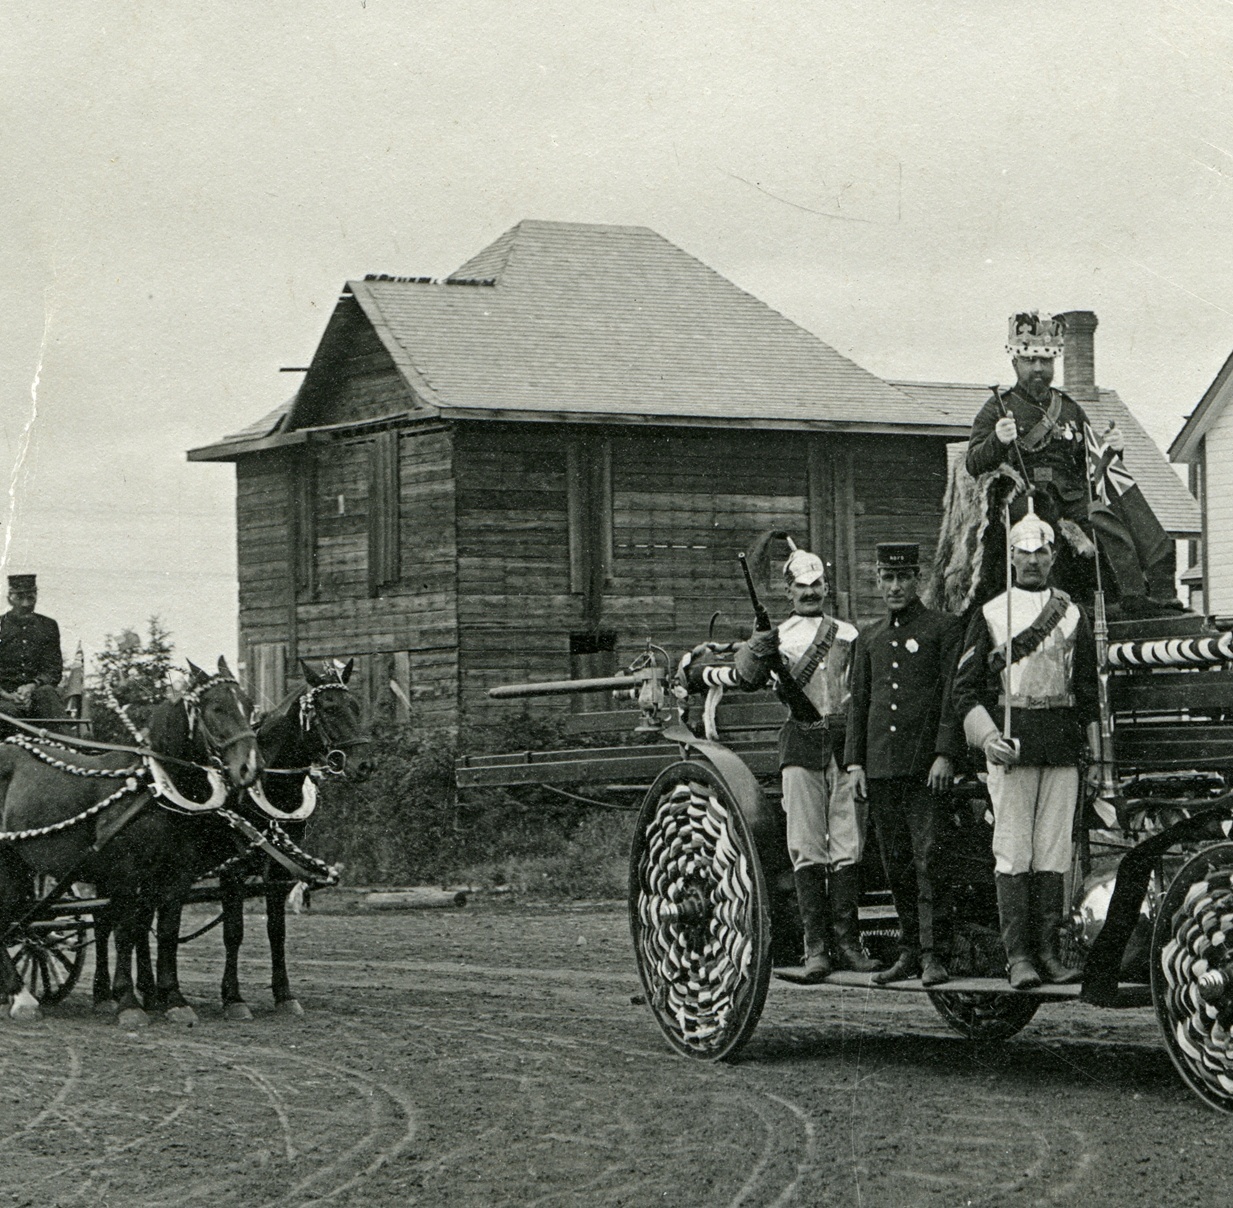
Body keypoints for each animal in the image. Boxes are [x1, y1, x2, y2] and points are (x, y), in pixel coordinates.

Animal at [1, 655, 257, 1025]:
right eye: (217, 707)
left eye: (248, 705)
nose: (249, 769)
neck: (155, 789)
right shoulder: (124, 874)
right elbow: (125, 932)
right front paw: (128, 1002)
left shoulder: (173, 875)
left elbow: (165, 932)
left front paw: (173, 999)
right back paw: (22, 997)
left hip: (17, 863)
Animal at [135, 655, 372, 1025]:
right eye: (329, 708)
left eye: (355, 706)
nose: (364, 765)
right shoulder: (233, 869)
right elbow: (234, 931)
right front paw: (233, 998)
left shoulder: (279, 873)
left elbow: (277, 931)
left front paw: (284, 995)